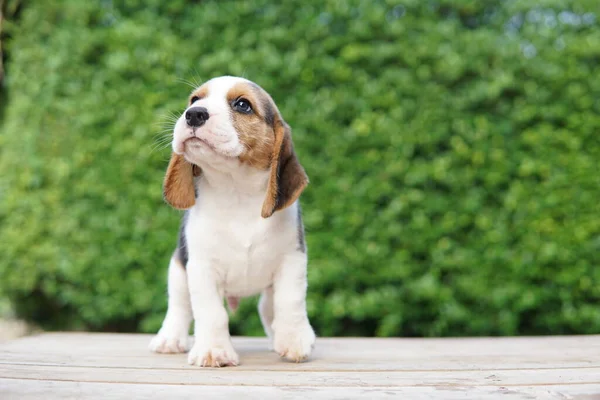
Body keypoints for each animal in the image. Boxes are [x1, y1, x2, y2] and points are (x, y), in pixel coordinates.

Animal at [148, 75, 316, 366]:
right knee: (179, 307)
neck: (236, 190)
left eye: (242, 105)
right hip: (178, 270)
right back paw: (169, 339)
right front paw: (213, 350)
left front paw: (294, 341)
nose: (194, 114)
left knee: (268, 309)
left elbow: (290, 301)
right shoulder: (201, 268)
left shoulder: (292, 260)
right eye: (195, 100)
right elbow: (211, 313)